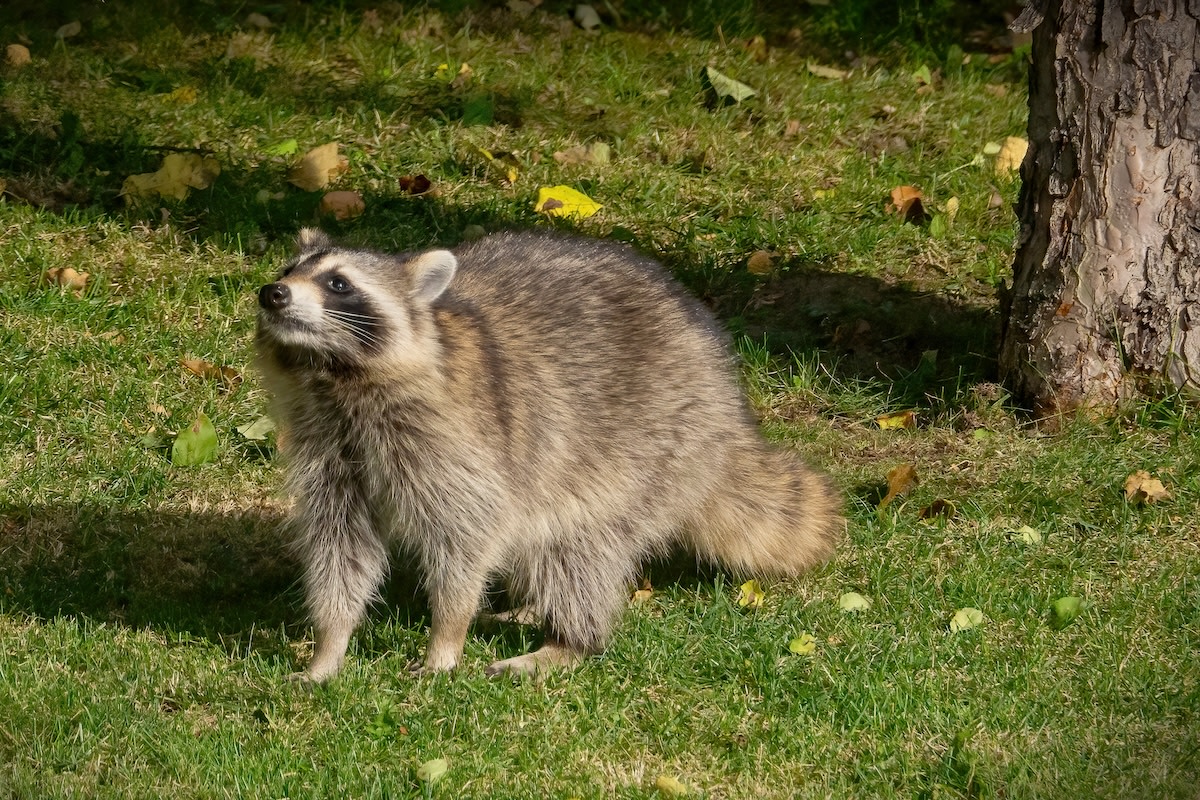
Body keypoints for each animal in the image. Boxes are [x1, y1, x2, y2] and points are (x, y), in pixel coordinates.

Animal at [256, 228, 841, 681]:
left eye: (339, 283)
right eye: (289, 268)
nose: (272, 293)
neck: (332, 376)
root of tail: (728, 413)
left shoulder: (455, 442)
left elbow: (468, 533)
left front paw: (446, 634)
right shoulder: (328, 447)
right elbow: (340, 543)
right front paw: (330, 644)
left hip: (650, 448)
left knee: (577, 546)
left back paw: (569, 641)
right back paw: (533, 607)